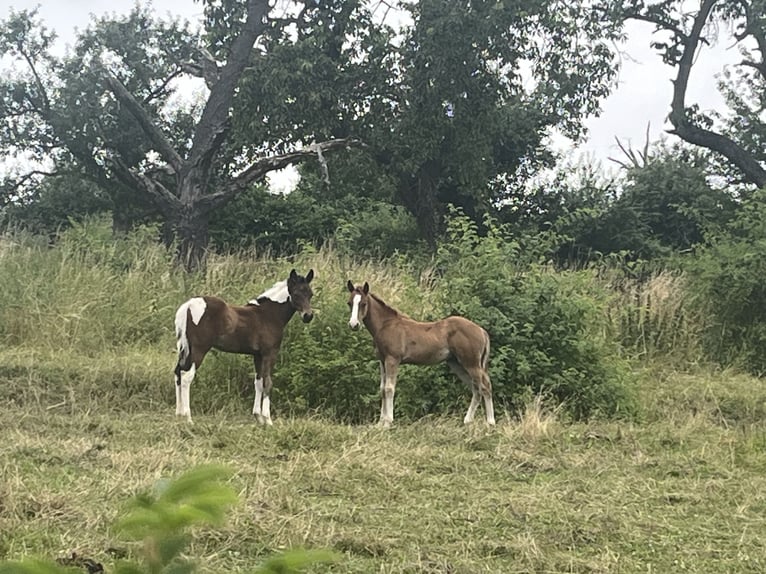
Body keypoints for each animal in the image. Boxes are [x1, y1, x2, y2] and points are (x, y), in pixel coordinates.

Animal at [173, 268, 314, 424]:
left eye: (310, 294)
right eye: (296, 294)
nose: (308, 316)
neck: (269, 314)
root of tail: (188, 305)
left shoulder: (258, 355)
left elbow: (258, 382)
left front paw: (258, 417)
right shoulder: (270, 353)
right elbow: (268, 382)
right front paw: (268, 420)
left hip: (186, 350)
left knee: (178, 372)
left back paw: (179, 414)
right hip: (199, 349)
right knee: (186, 376)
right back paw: (188, 418)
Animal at [346, 280, 495, 427]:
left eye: (363, 303)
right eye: (349, 303)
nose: (354, 325)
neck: (386, 325)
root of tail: (481, 330)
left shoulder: (392, 360)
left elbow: (389, 388)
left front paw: (388, 422)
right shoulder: (382, 361)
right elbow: (382, 389)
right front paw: (379, 423)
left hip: (471, 363)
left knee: (485, 387)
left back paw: (490, 422)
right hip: (457, 364)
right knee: (476, 389)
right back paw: (468, 421)